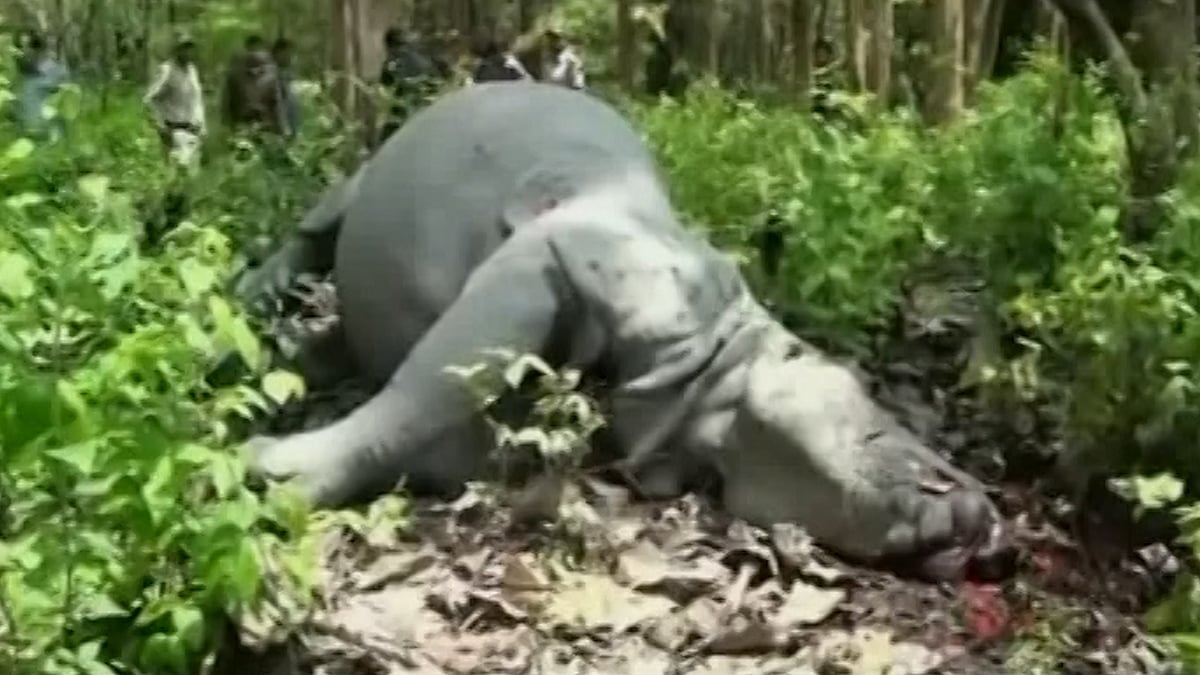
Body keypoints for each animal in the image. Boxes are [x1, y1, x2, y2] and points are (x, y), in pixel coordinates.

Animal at [237, 81, 1011, 582]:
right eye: (883, 435)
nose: (989, 530)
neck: (725, 373)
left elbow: (466, 433)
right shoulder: (557, 257)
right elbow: (439, 380)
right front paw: (277, 473)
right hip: (401, 141)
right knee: (337, 204)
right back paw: (262, 295)